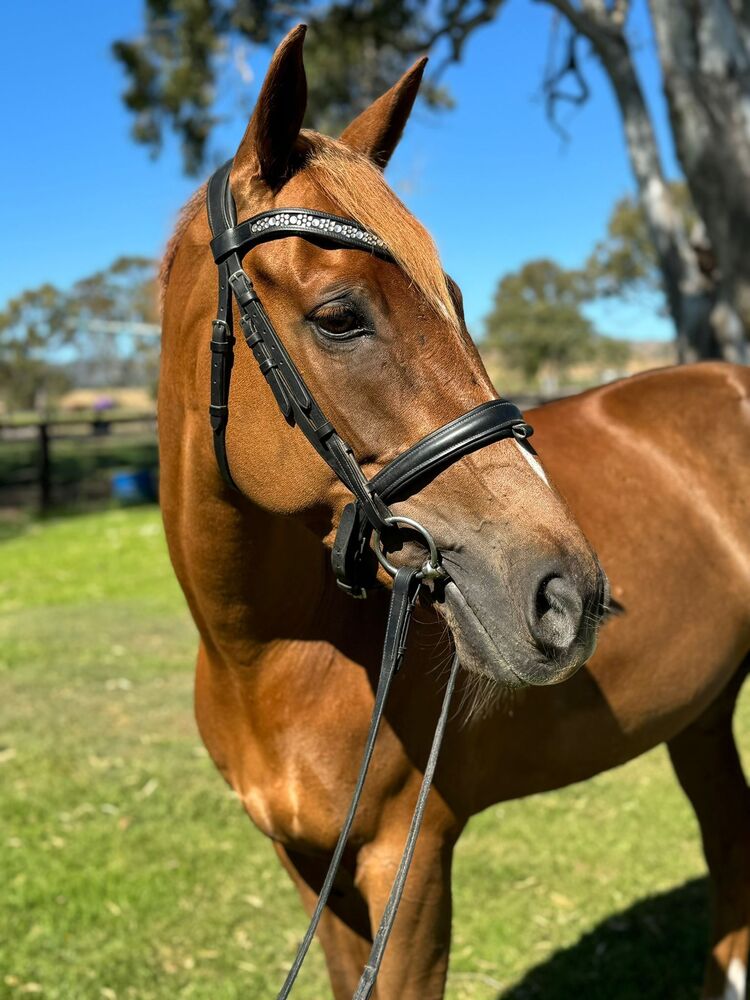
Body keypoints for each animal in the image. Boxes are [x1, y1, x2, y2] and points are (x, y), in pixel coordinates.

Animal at [159, 25, 750, 1000]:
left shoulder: (411, 868)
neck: (270, 657)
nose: (568, 595)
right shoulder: (312, 870)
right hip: (701, 712)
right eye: (339, 316)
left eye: (460, 301)